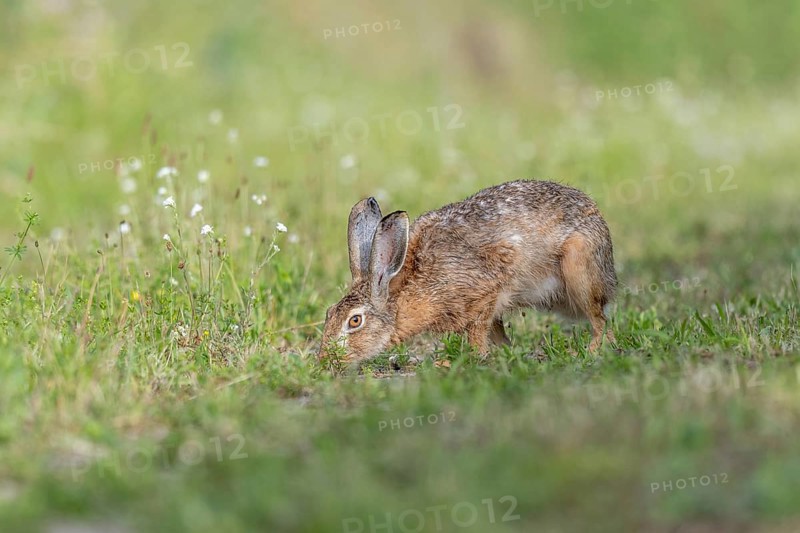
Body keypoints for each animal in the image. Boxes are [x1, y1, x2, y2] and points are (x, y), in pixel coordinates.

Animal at [318, 179, 617, 364]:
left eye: (355, 321)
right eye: (329, 313)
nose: (325, 359)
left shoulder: (485, 293)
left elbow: (479, 333)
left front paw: (474, 359)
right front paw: (503, 356)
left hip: (580, 272)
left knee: (600, 320)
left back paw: (592, 353)